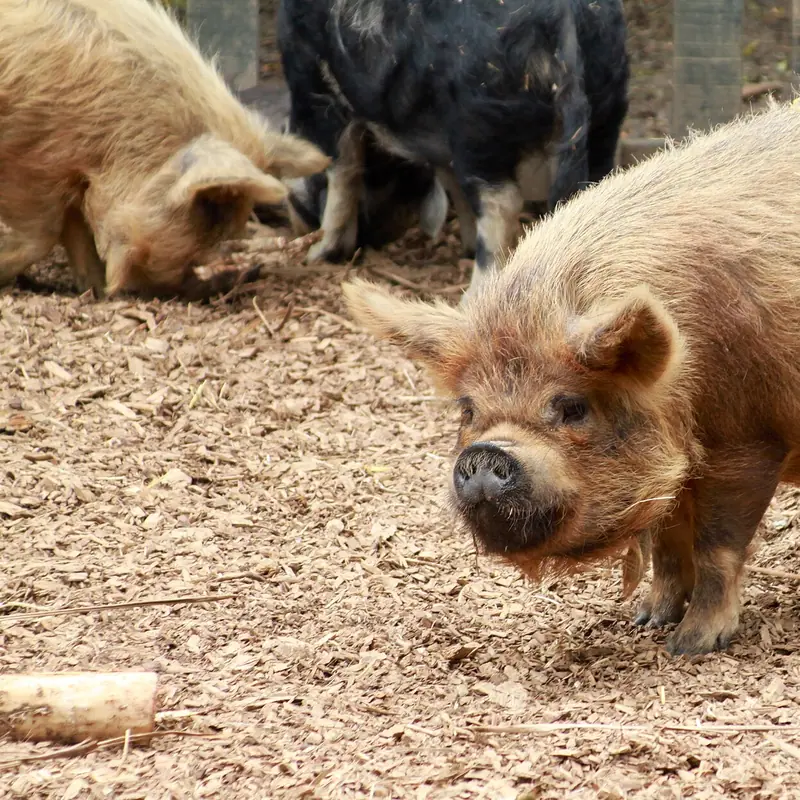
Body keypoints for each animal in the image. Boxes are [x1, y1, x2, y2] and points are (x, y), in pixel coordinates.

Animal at [0, 0, 329, 298]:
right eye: (208, 206)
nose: (247, 274)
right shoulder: (30, 165)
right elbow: (44, 233)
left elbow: (75, 230)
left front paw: (98, 292)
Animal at [279, 0, 629, 300]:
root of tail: (563, 17)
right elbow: (450, 183)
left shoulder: (312, 78)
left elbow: (340, 169)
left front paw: (316, 255)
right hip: (606, 107)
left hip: (478, 120)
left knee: (501, 203)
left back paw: (471, 298)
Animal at [343, 101, 800, 656]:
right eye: (468, 409)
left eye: (572, 407)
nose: (485, 453)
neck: (682, 380)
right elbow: (667, 540)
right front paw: (647, 621)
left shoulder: (748, 438)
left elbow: (717, 546)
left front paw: (689, 646)